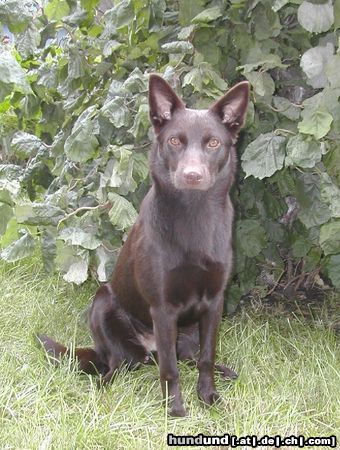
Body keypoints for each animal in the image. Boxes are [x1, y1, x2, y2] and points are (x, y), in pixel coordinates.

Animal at [39, 73, 250, 414]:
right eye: (175, 141)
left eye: (213, 143)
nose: (192, 176)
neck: (193, 214)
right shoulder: (162, 309)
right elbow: (169, 369)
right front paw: (175, 410)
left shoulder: (215, 303)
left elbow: (206, 357)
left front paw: (208, 397)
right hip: (103, 303)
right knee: (121, 363)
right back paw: (104, 385)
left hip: (188, 333)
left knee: (188, 358)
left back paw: (223, 371)